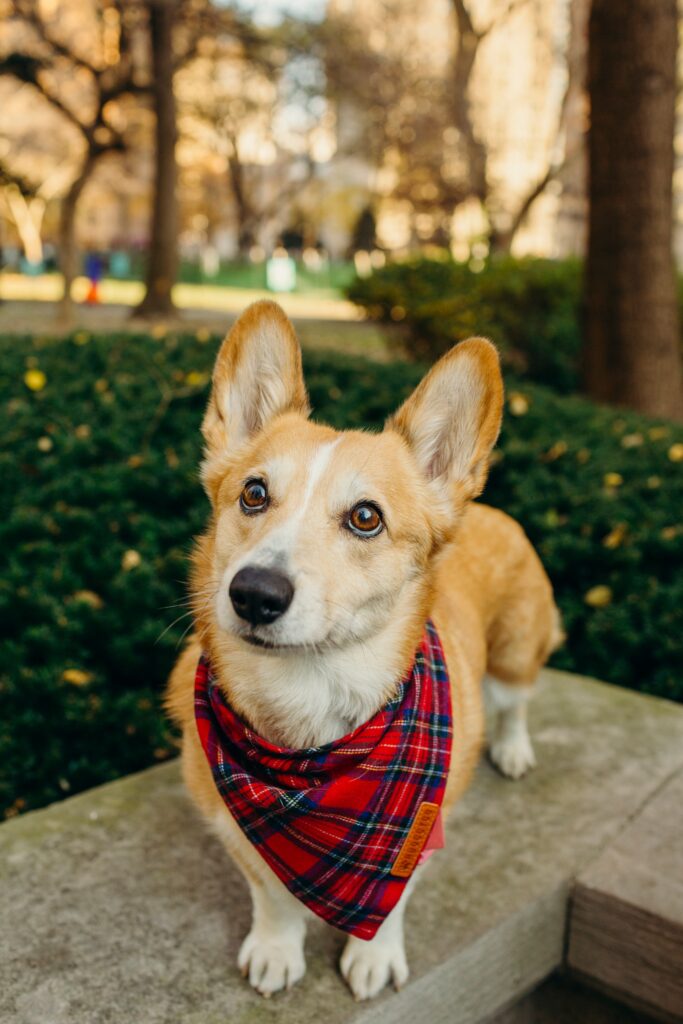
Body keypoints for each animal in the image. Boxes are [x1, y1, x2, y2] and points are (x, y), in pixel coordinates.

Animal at [165, 296, 561, 999]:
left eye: (366, 517)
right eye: (254, 494)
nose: (254, 594)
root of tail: (492, 511)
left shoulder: (418, 830)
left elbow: (392, 902)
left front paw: (372, 958)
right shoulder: (231, 827)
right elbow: (271, 893)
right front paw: (276, 950)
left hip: (515, 654)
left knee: (515, 703)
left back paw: (513, 749)